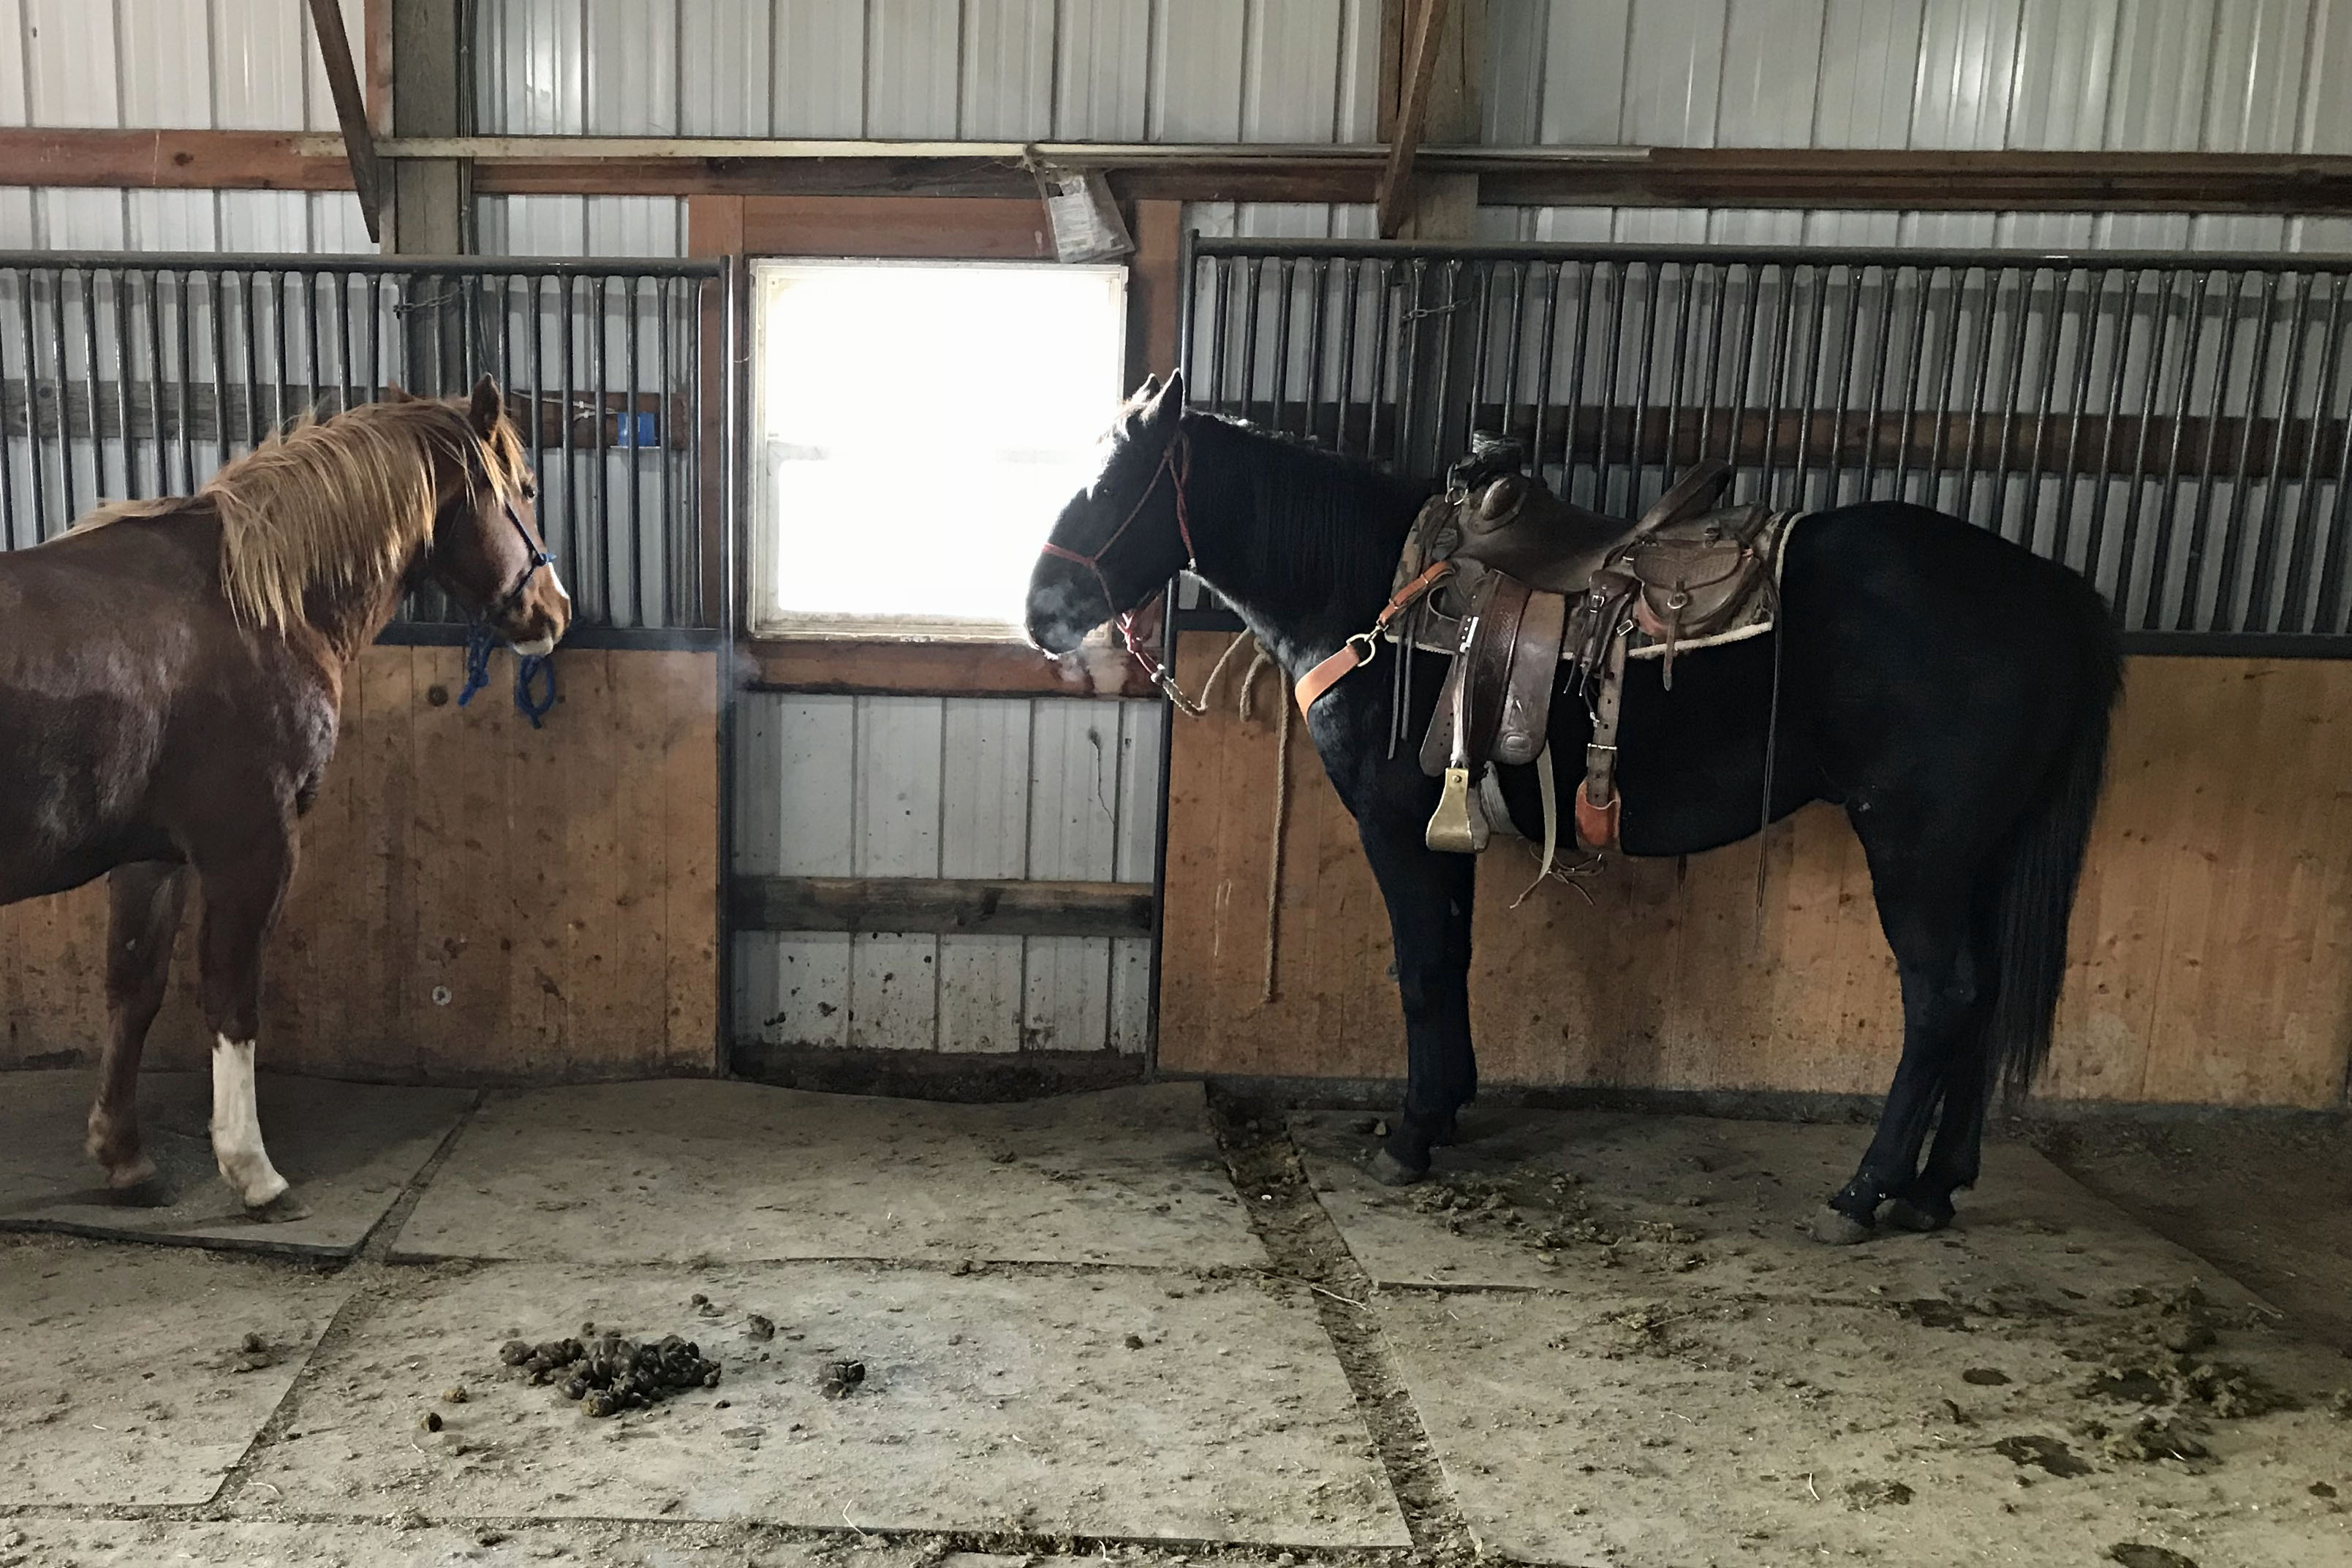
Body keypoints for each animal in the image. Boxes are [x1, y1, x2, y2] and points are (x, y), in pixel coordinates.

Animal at [0, 375, 569, 1217]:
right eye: (524, 489)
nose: (554, 614)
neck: (248, 605)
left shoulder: (153, 857)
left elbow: (134, 991)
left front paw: (125, 1158)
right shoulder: (252, 844)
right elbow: (233, 995)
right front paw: (253, 1171)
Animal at [1028, 371, 2121, 1243]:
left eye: (1111, 490)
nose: (1040, 612)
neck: (1373, 589)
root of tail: (2051, 588)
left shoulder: (1395, 823)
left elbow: (1420, 967)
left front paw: (1411, 1136)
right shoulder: (1448, 827)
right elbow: (1453, 956)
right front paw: (1447, 1107)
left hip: (1916, 850)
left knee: (1942, 1001)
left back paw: (1864, 1191)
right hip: (1981, 854)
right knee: (1982, 1001)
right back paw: (1933, 1190)